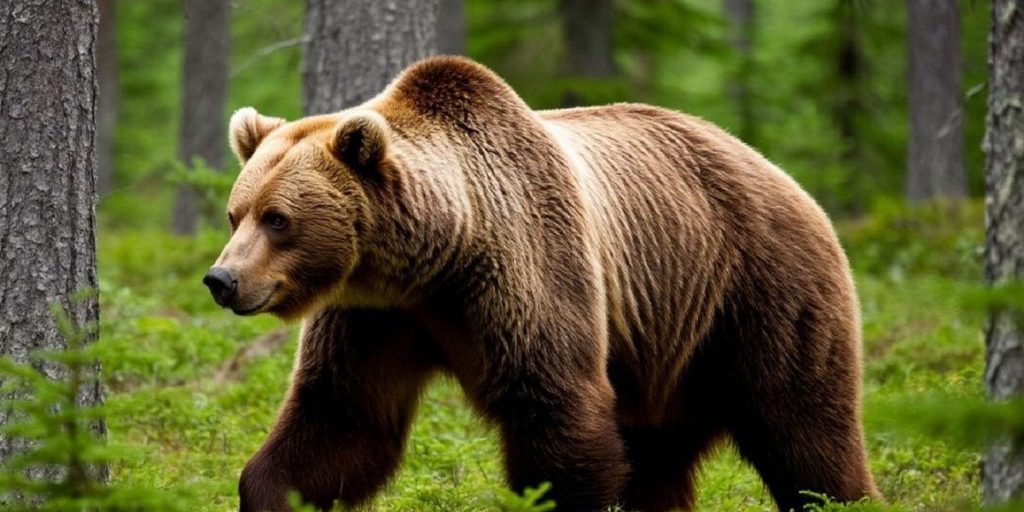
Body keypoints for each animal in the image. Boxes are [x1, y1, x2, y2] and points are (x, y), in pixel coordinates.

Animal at [203, 56, 878, 512]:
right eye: (236, 214)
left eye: (278, 219)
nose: (222, 279)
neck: (436, 259)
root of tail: (785, 176)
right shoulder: (377, 317)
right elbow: (340, 420)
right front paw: (268, 488)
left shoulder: (526, 269)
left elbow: (556, 414)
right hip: (670, 353)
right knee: (659, 458)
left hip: (758, 291)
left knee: (806, 432)